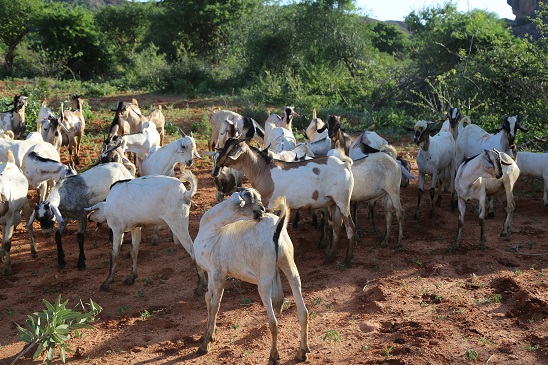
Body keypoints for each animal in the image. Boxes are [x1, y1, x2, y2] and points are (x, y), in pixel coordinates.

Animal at [195, 188, 310, 364]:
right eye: (249, 199)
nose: (262, 210)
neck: (213, 232)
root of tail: (277, 228)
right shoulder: (210, 272)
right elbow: (208, 298)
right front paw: (206, 336)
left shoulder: (218, 274)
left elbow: (215, 306)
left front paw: (205, 344)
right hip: (289, 265)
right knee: (302, 311)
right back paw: (302, 352)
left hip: (264, 280)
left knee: (273, 322)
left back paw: (273, 356)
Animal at [214, 136, 356, 264]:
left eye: (234, 148)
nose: (219, 160)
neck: (263, 170)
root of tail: (345, 165)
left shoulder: (269, 206)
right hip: (333, 203)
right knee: (337, 227)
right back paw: (329, 257)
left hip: (342, 201)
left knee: (350, 227)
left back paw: (347, 259)